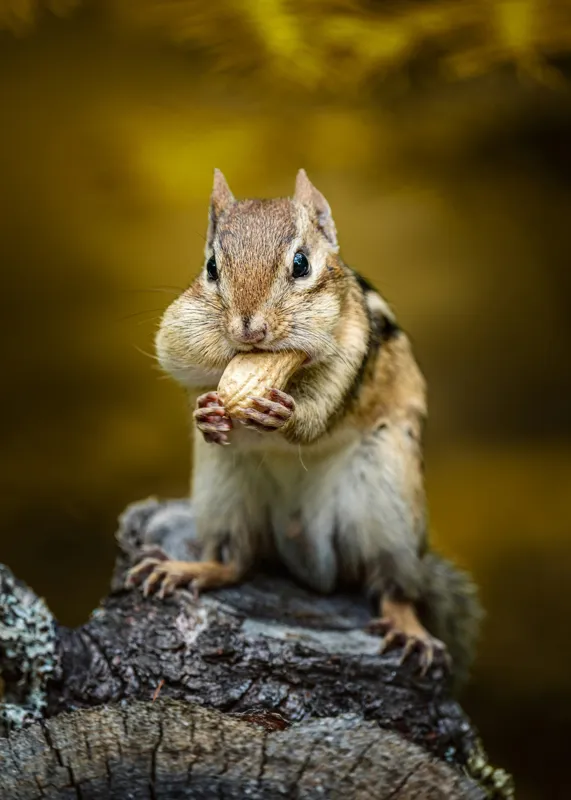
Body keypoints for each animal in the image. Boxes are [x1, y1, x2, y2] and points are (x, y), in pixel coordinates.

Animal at [126, 169, 482, 686]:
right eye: (211, 267)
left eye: (301, 264)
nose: (250, 330)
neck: (279, 369)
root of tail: (305, 549)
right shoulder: (180, 334)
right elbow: (181, 367)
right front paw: (207, 413)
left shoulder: (353, 350)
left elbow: (319, 417)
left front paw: (287, 415)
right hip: (224, 491)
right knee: (237, 561)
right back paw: (190, 569)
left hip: (387, 503)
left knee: (392, 588)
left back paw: (409, 627)